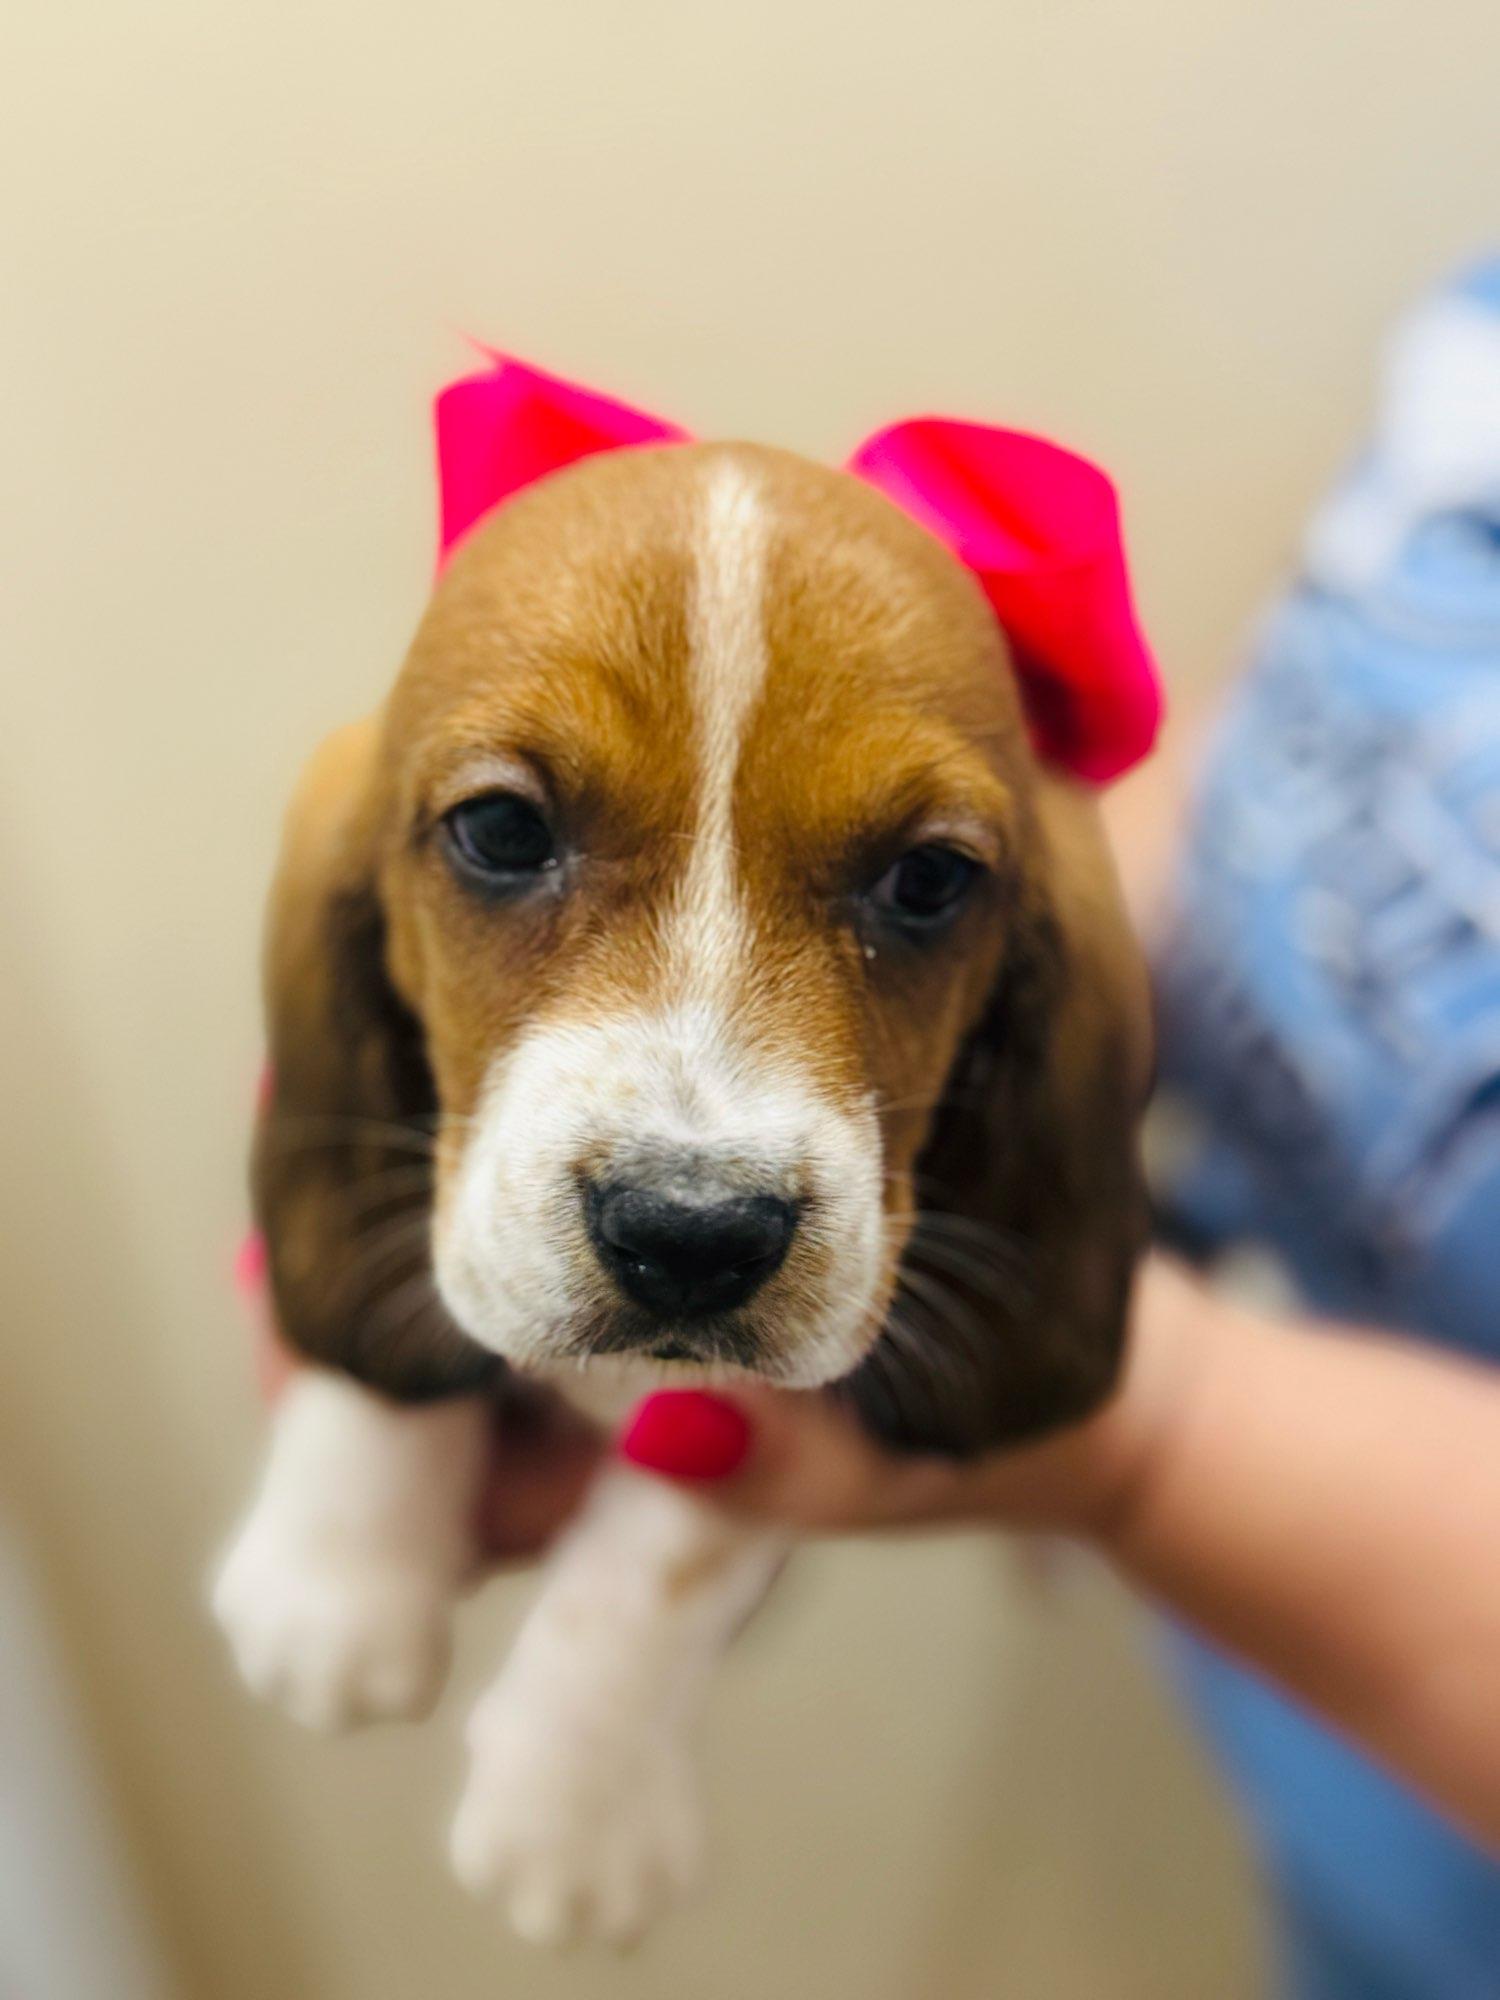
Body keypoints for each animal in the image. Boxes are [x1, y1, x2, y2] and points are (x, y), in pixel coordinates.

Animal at [213, 357, 1157, 1946]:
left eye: (929, 880)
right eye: (501, 829)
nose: (693, 1235)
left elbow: (669, 1542)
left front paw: (572, 1804)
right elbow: (385, 1321)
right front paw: (338, 1573)